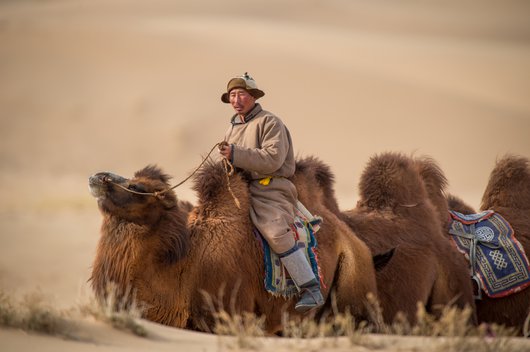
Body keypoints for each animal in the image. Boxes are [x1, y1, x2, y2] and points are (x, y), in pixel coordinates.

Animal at [89, 161, 380, 334]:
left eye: (136, 186)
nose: (96, 176)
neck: (182, 269)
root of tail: (354, 240)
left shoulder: (231, 310)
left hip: (354, 285)